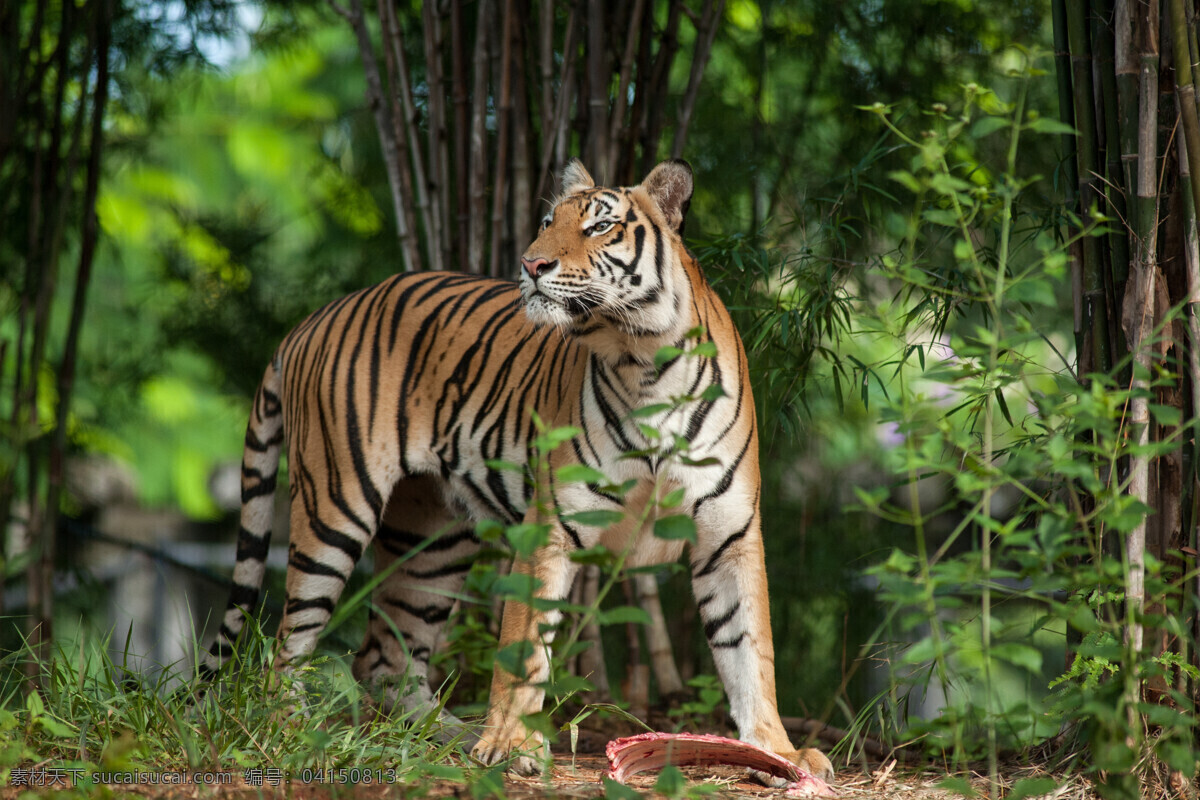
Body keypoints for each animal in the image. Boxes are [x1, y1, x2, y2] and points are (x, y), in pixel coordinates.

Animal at [201, 160, 830, 782]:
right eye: (549, 222)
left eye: (600, 227)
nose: (531, 264)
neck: (646, 359)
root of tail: (314, 318)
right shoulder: (551, 528)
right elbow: (525, 648)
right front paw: (509, 745)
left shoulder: (729, 534)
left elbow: (750, 649)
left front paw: (778, 750)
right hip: (335, 507)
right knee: (288, 642)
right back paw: (293, 730)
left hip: (432, 542)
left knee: (384, 657)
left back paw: (444, 736)